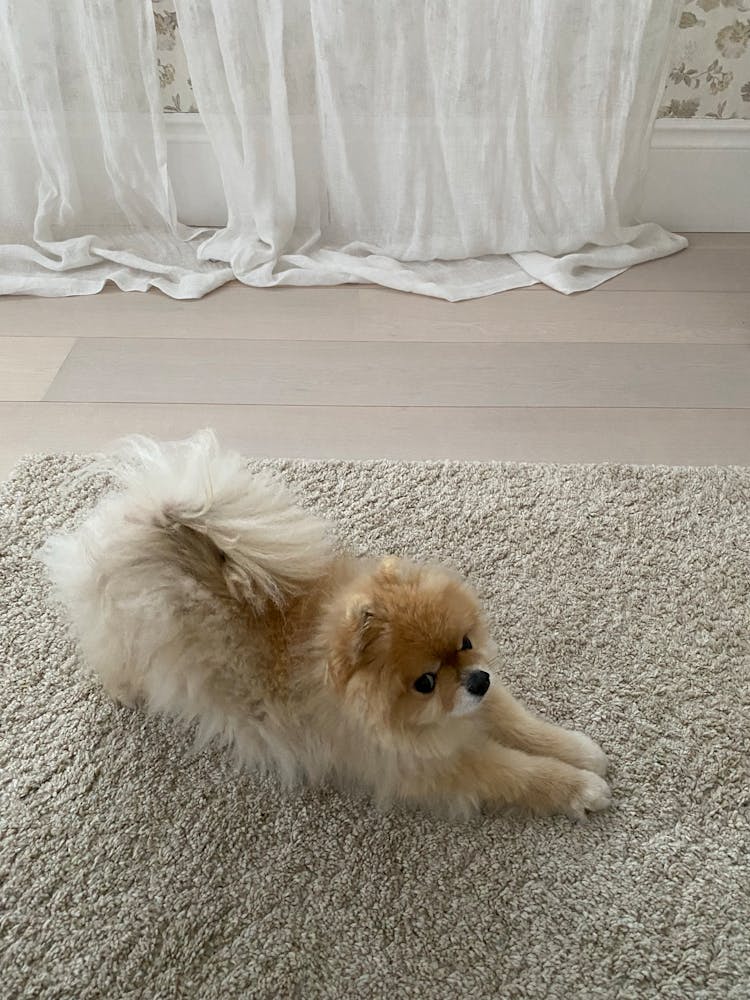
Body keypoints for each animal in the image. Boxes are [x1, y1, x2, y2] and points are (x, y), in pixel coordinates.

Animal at [41, 432, 612, 820]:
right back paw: (127, 691)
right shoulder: (429, 765)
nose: (475, 679)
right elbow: (514, 772)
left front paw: (575, 747)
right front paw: (577, 787)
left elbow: (516, 719)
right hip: (131, 639)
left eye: (465, 643)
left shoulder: (476, 702)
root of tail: (151, 528)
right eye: (425, 682)